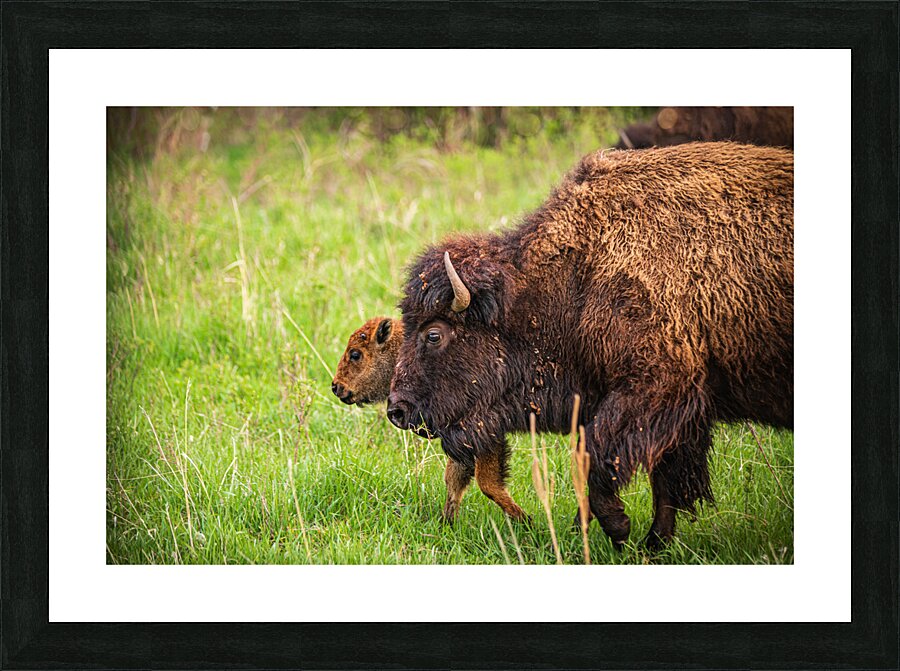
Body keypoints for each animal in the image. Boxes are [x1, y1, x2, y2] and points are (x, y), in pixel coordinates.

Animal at [387, 142, 793, 549]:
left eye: (434, 334)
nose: (397, 411)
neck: (577, 275)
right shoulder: (679, 411)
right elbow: (664, 479)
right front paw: (651, 544)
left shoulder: (655, 388)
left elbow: (598, 461)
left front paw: (620, 528)